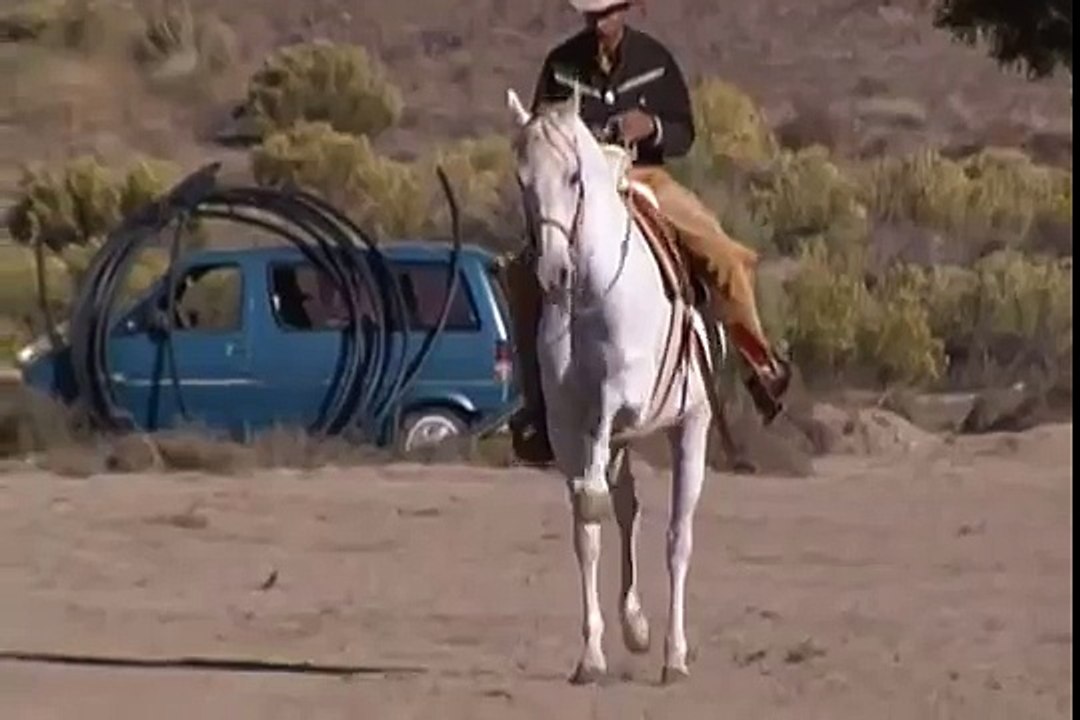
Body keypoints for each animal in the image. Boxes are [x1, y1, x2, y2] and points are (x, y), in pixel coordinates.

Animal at [506, 88, 725, 685]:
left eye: (574, 177)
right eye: (522, 179)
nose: (552, 273)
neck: (588, 295)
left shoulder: (620, 404)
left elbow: (598, 490)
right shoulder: (563, 424)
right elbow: (588, 524)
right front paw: (592, 655)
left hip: (691, 426)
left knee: (678, 537)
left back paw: (674, 655)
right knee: (627, 511)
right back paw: (638, 627)